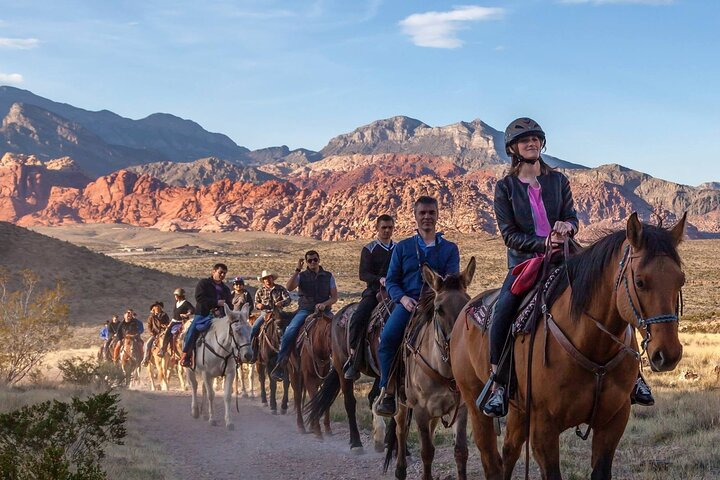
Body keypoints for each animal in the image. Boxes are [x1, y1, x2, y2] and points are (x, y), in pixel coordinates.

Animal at [386, 258, 476, 480]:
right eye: (439, 309)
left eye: (467, 305)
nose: (457, 345)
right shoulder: (420, 410)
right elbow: (426, 452)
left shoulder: (461, 408)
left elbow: (460, 451)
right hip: (402, 402)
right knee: (400, 429)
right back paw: (400, 469)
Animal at [450, 214, 688, 480]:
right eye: (640, 282)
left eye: (681, 280)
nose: (668, 354)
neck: (593, 346)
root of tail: (465, 309)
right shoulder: (543, 428)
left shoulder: (613, 421)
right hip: (474, 402)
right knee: (490, 458)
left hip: (519, 409)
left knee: (509, 450)